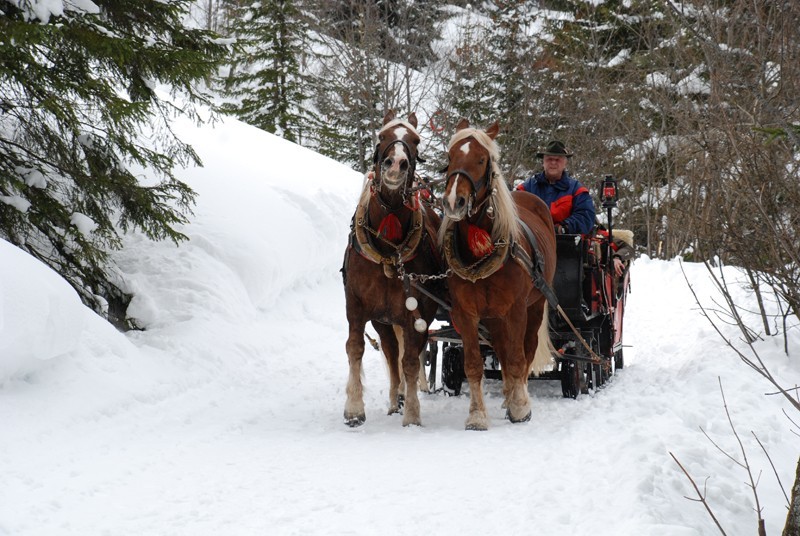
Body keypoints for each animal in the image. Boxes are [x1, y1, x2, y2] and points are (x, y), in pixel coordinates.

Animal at [340, 110, 444, 428]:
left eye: (416, 140)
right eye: (382, 136)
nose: (396, 163)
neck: (389, 250)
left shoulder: (419, 312)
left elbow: (411, 360)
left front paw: (412, 413)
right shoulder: (357, 305)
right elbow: (355, 348)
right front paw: (354, 409)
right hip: (383, 320)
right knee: (390, 351)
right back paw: (394, 397)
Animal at [438, 119, 556, 430]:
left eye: (481, 159)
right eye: (450, 156)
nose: (454, 201)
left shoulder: (516, 309)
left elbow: (517, 359)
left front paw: (521, 408)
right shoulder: (466, 313)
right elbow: (473, 364)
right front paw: (477, 415)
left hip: (534, 305)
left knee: (526, 350)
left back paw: (517, 395)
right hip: (493, 317)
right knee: (501, 349)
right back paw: (506, 394)